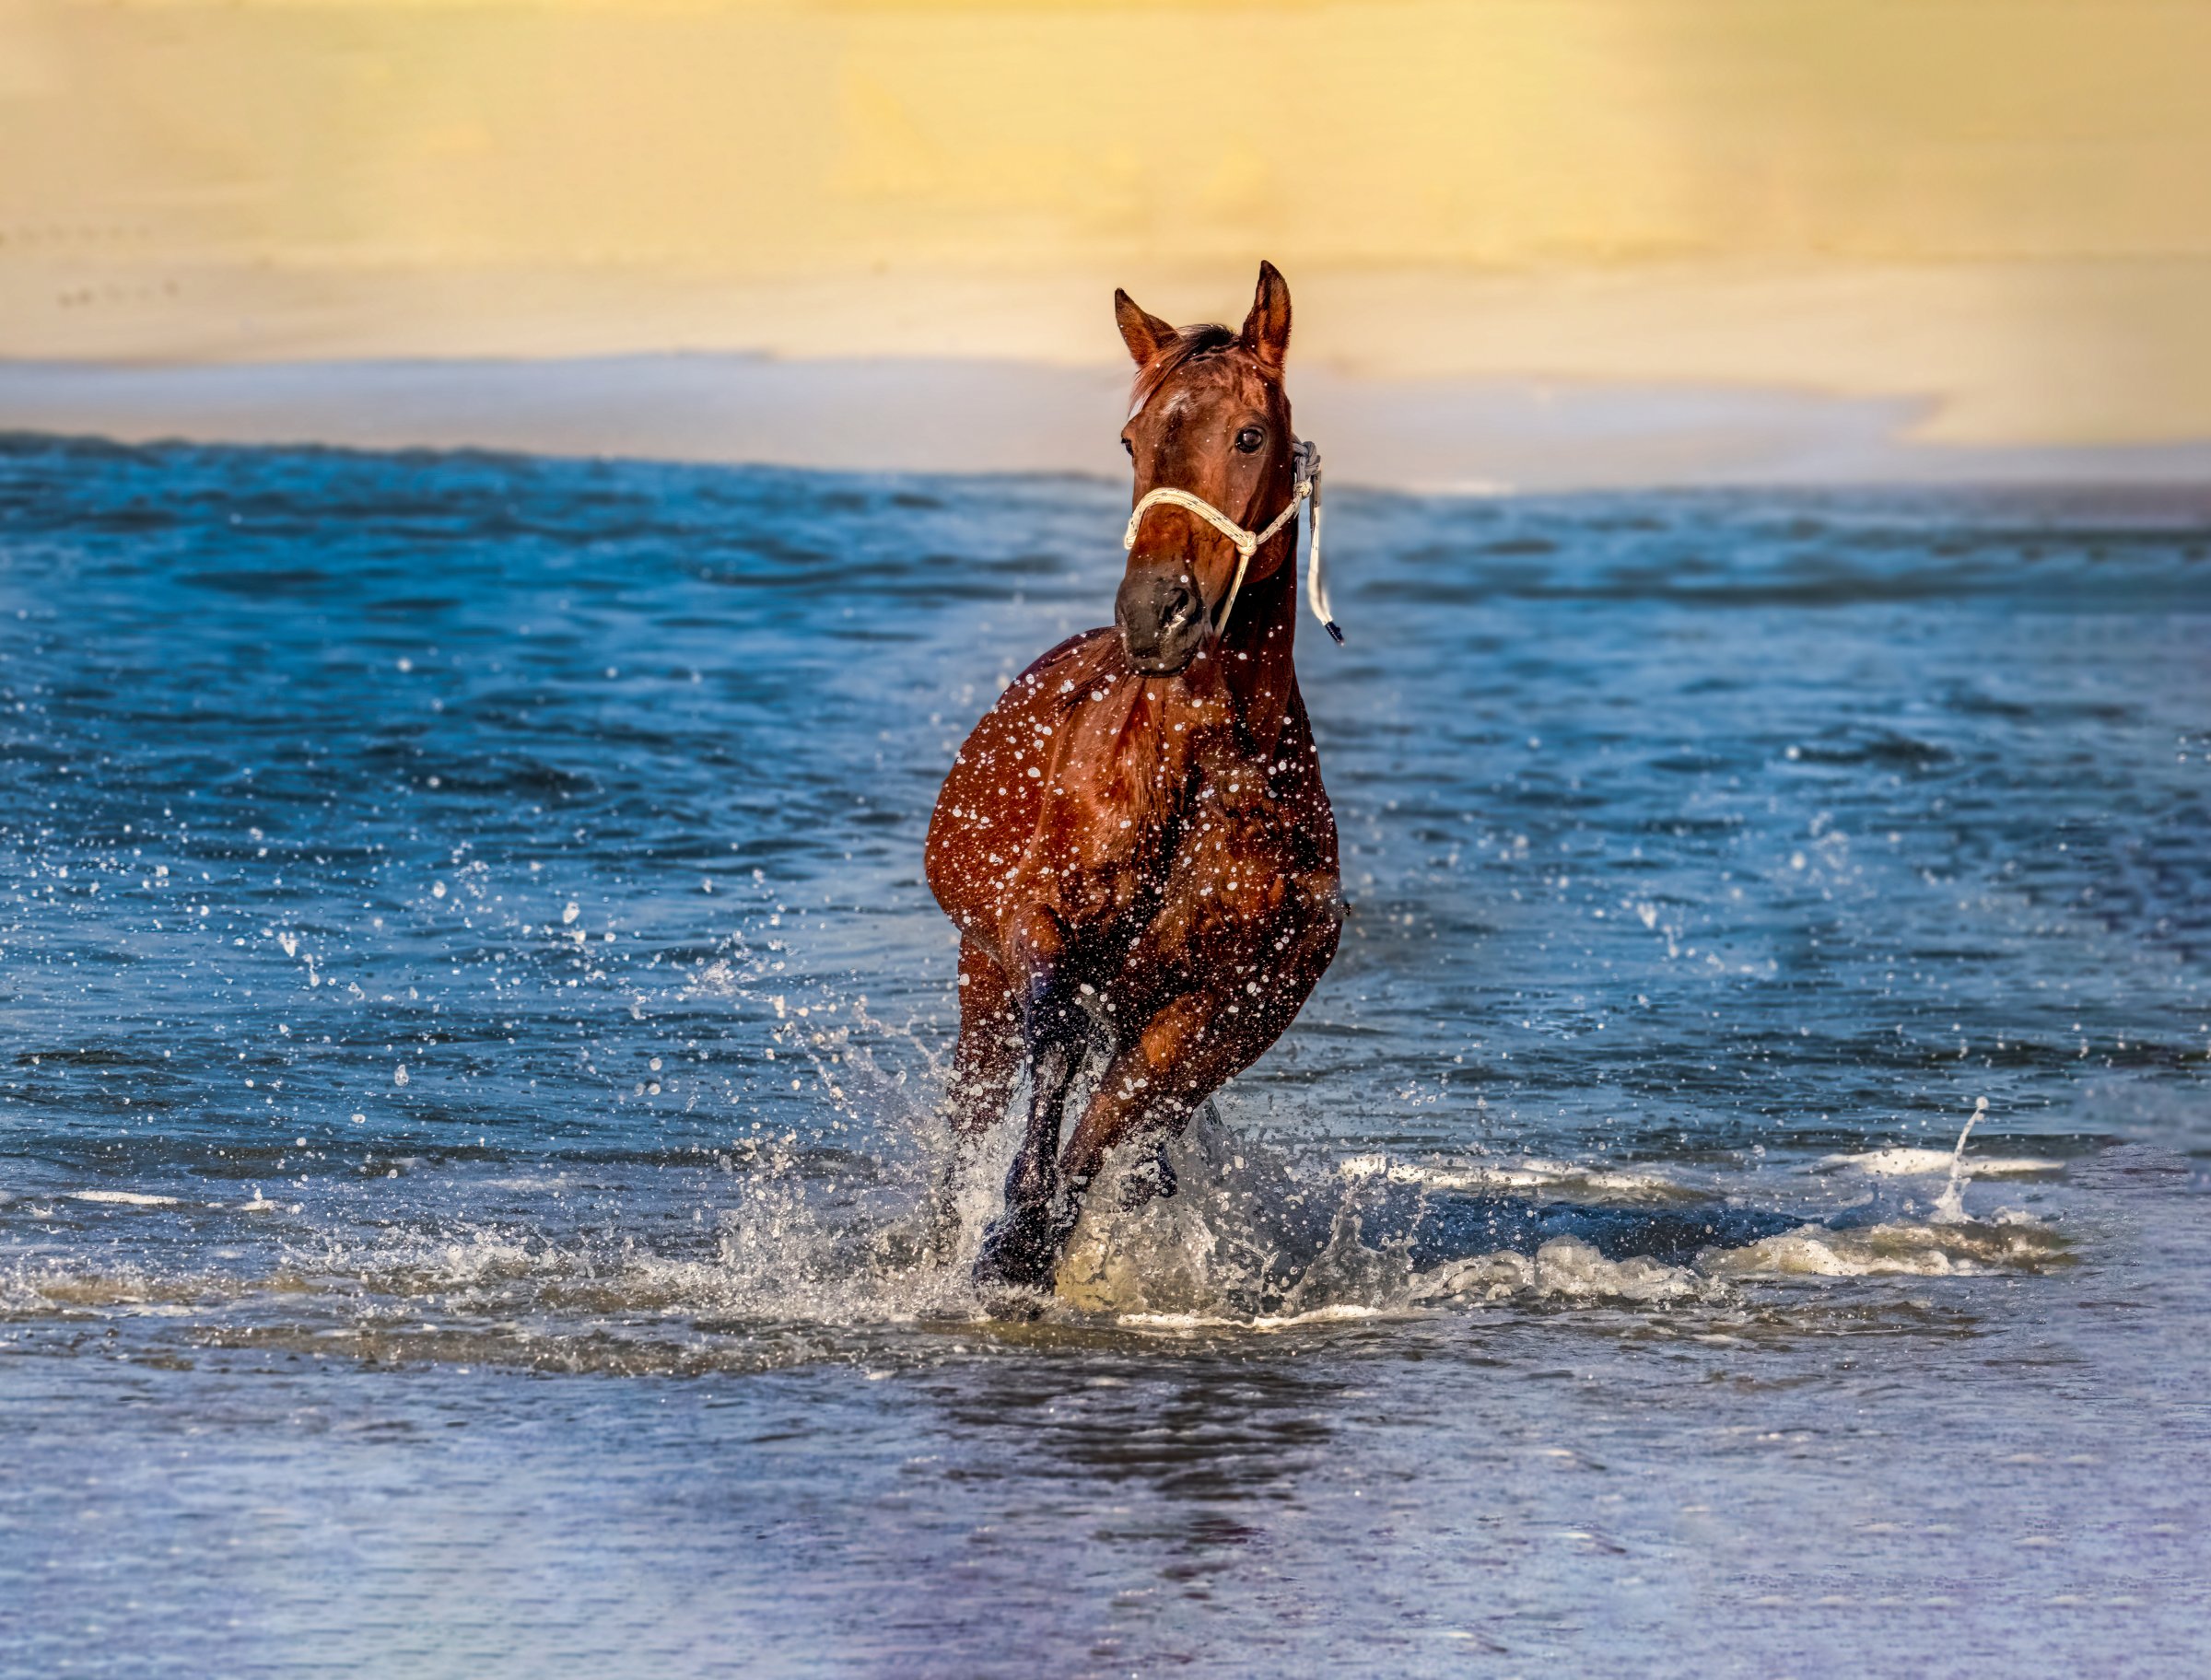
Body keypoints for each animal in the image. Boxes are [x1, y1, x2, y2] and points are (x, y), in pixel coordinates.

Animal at [923, 261, 1343, 1296]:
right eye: (1132, 438)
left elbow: (1124, 1107)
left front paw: (1027, 1242)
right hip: (977, 976)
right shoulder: (1034, 921)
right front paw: (1013, 1226)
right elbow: (1062, 1044)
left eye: (1250, 434)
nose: (1156, 615)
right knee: (972, 1118)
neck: (1195, 779)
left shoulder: (1229, 1004)